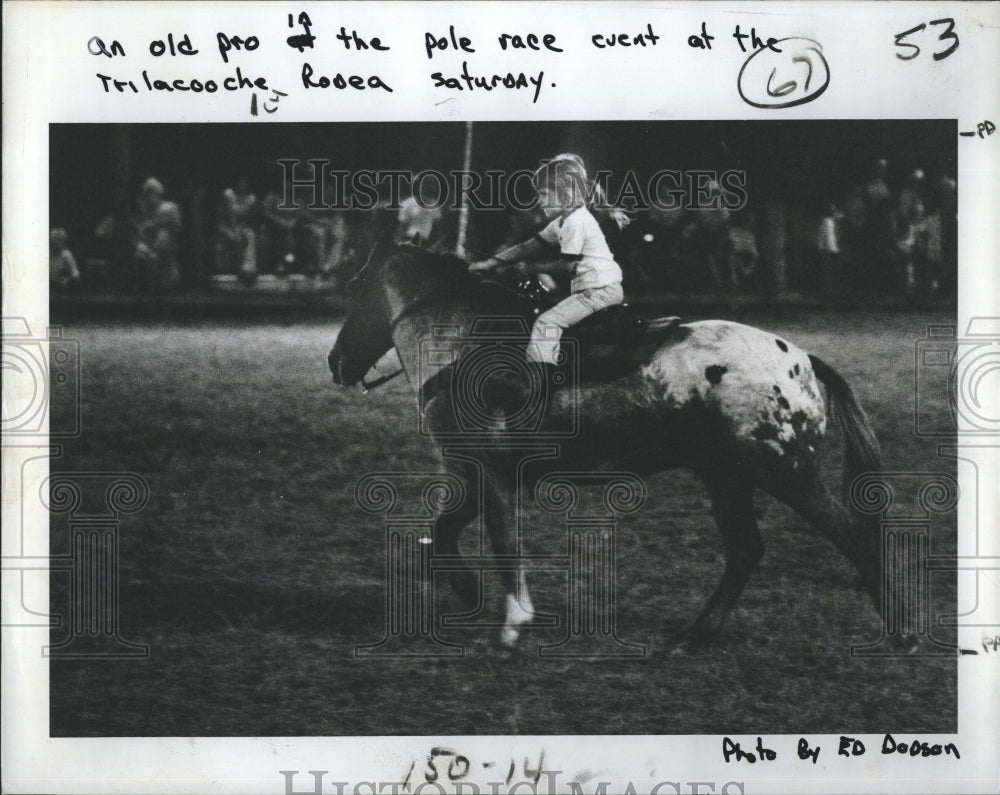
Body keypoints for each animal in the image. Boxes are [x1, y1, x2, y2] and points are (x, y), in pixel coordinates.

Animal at [328, 246, 884, 648]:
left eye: (355, 289)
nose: (335, 362)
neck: (462, 342)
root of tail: (802, 359)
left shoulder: (490, 471)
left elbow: (504, 545)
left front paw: (512, 624)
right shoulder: (473, 473)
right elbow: (443, 531)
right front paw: (468, 591)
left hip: (785, 472)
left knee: (853, 538)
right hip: (727, 476)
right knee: (746, 550)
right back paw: (696, 635)